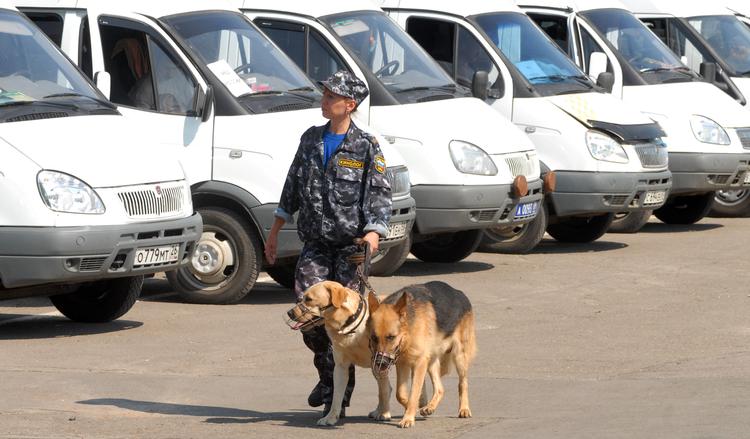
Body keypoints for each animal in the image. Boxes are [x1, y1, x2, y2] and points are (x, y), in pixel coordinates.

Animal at [286, 282, 394, 426]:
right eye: (302, 297)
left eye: (309, 299)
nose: (289, 312)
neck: (350, 326)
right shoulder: (340, 367)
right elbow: (336, 396)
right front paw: (331, 417)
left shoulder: (380, 361)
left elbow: (383, 391)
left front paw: (385, 414)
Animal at [368, 282, 476, 430]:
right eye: (374, 338)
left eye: (391, 337)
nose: (380, 363)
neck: (408, 332)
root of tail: (459, 293)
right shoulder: (403, 364)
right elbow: (400, 394)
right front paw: (413, 408)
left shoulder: (419, 363)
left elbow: (414, 393)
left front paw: (408, 417)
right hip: (431, 362)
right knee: (440, 388)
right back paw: (429, 407)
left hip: (459, 357)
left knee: (462, 383)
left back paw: (464, 408)